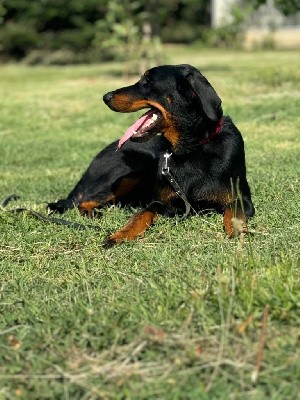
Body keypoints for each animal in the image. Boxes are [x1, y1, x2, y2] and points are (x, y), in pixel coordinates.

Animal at [48, 64, 254, 247]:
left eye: (148, 81)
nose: (105, 97)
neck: (192, 149)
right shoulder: (161, 202)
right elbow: (141, 214)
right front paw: (120, 235)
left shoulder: (242, 199)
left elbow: (233, 214)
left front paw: (237, 233)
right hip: (131, 170)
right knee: (82, 201)